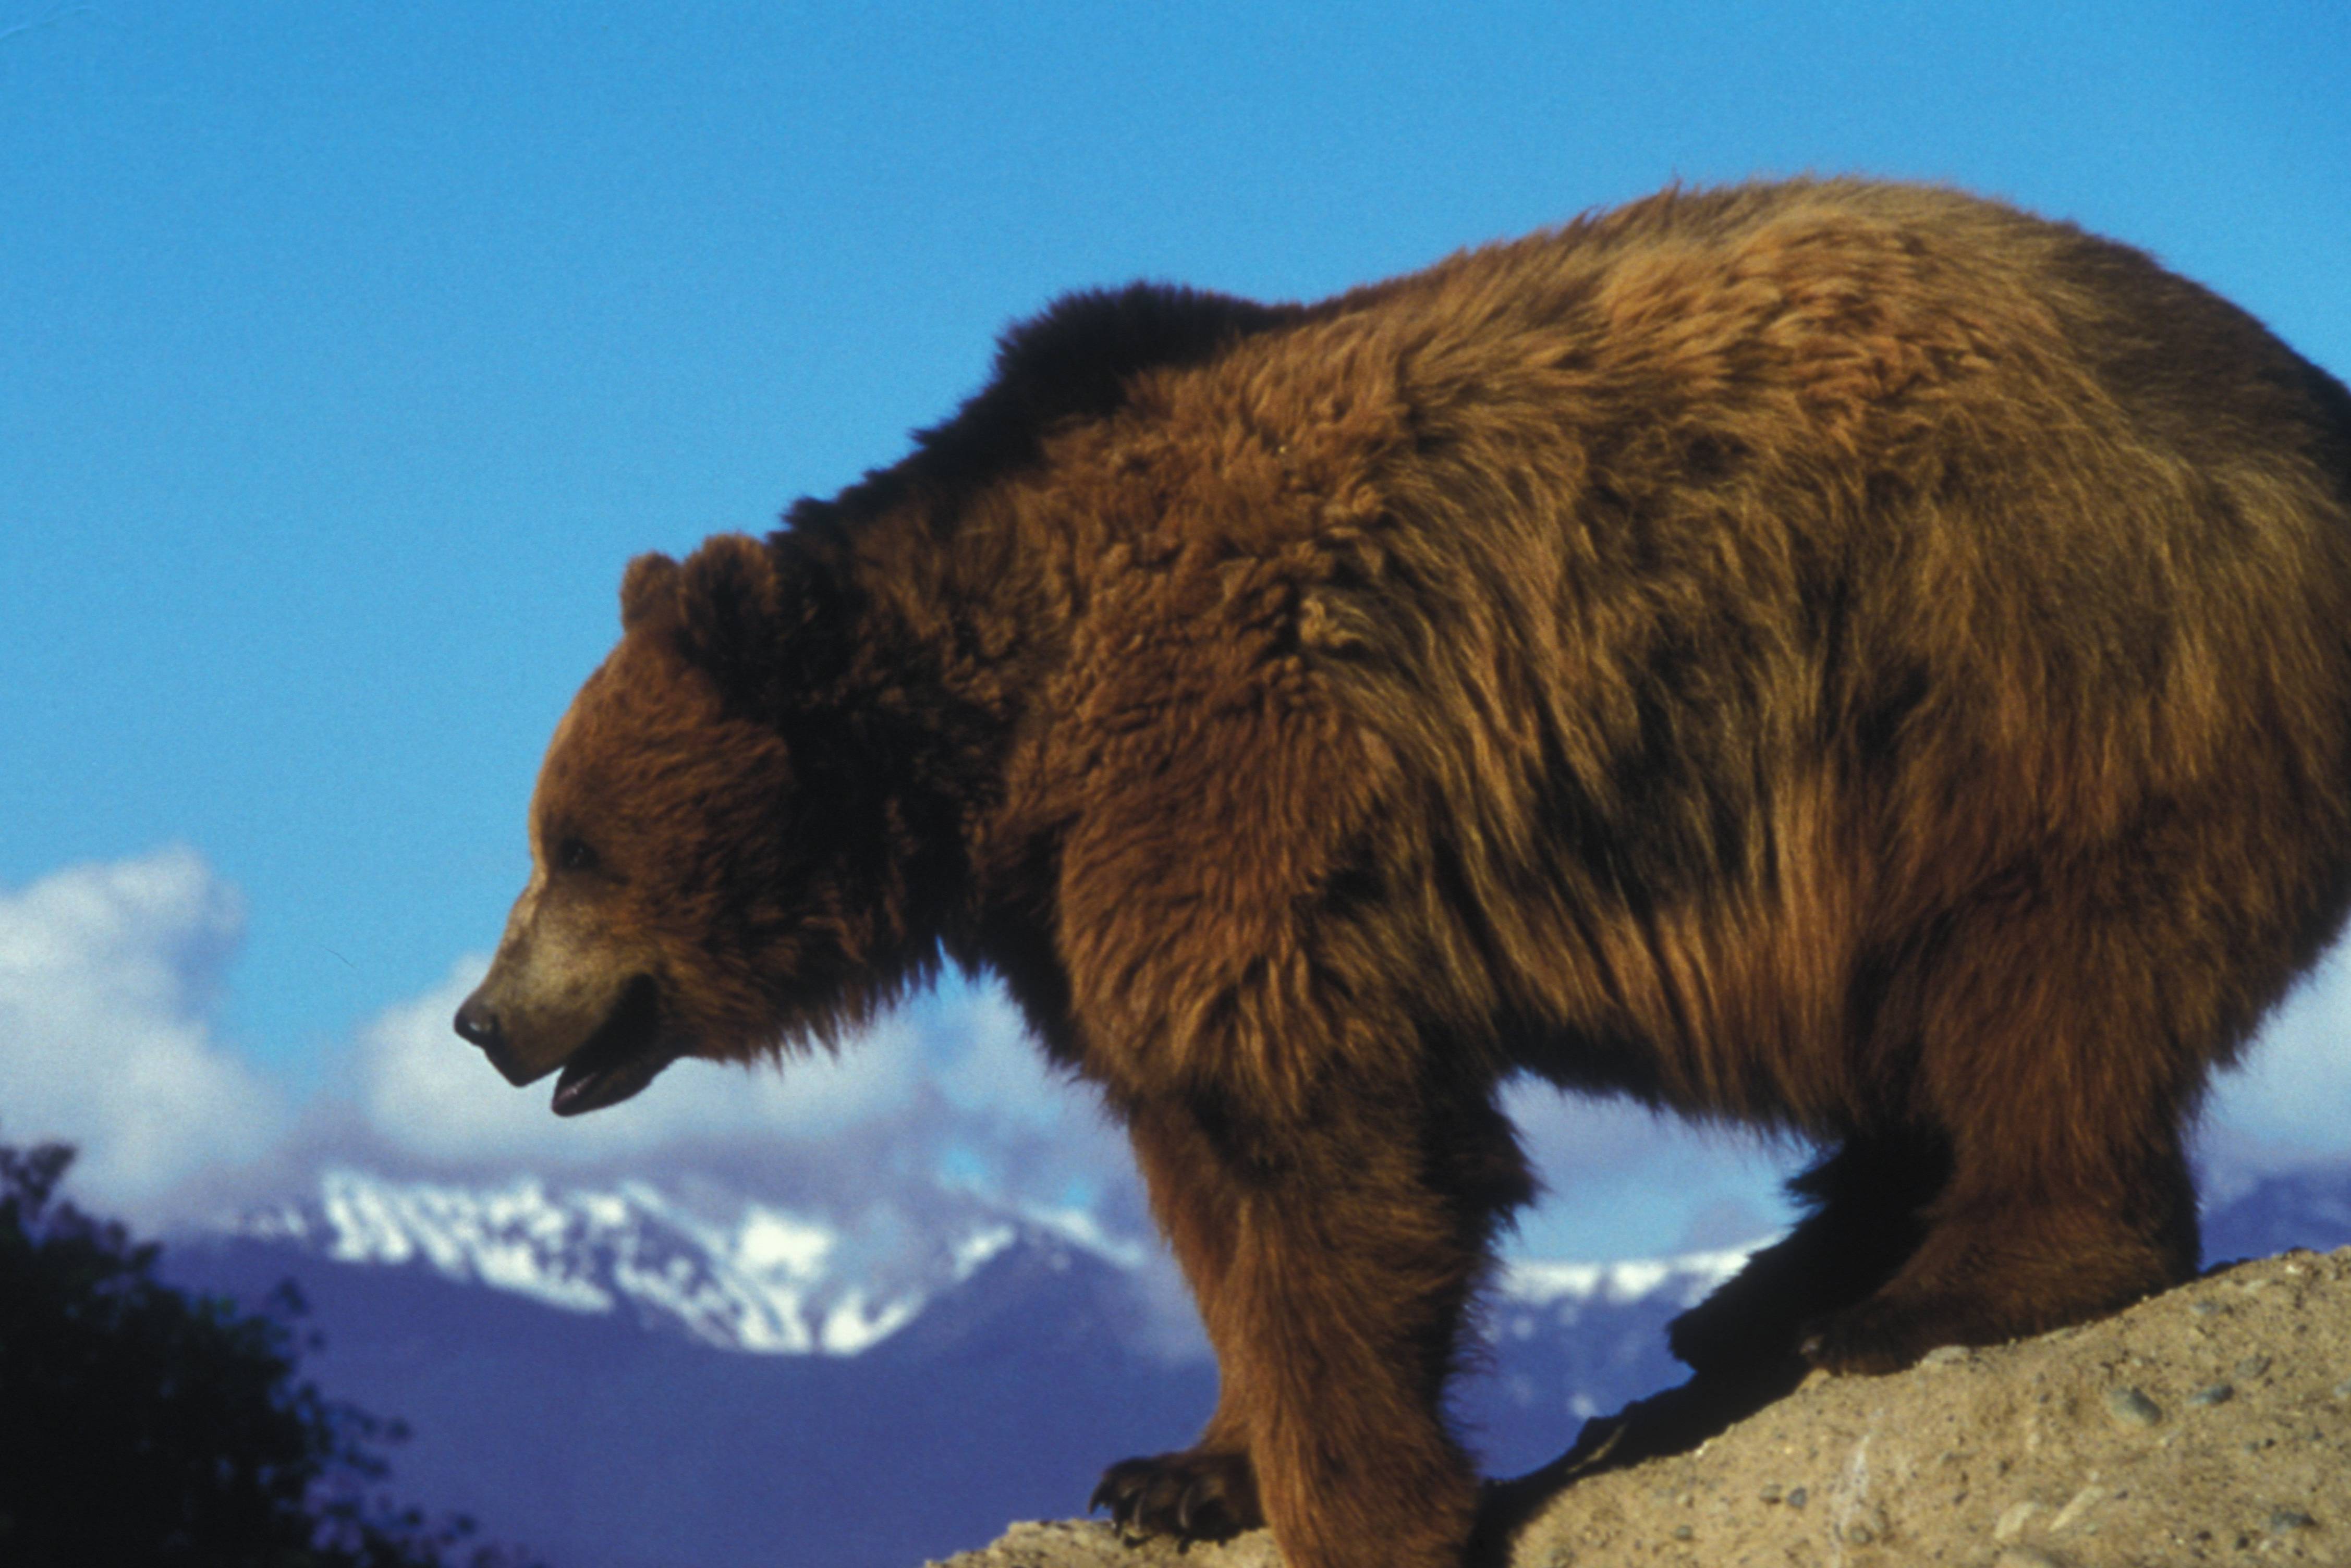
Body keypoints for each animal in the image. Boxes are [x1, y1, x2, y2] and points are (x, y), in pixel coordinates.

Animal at [453, 178, 2351, 1568]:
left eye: (569, 848)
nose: (480, 1017)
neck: (998, 730)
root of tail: (2302, 409)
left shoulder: (1236, 767)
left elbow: (1324, 1139)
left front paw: (1361, 1505)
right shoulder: (1091, 893)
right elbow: (1203, 1172)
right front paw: (1178, 1469)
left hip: (2024, 663)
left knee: (2041, 967)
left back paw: (1927, 1292)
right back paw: (1753, 1297)